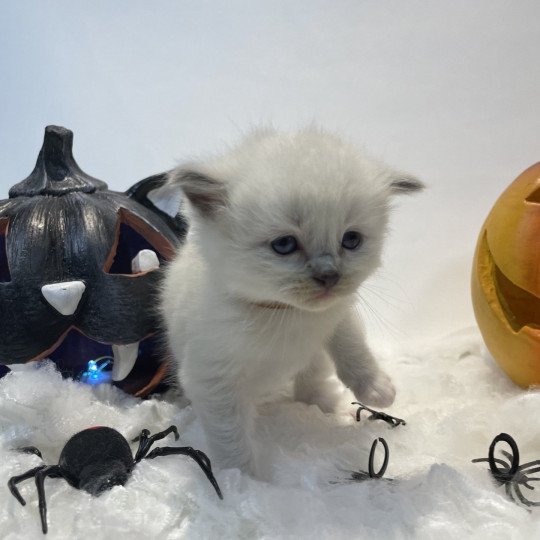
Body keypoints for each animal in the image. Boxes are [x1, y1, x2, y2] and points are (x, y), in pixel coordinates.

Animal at [162, 130, 424, 476]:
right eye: (285, 244)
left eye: (351, 240)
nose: (329, 276)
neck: (287, 313)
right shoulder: (214, 380)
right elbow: (231, 435)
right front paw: (241, 479)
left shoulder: (337, 314)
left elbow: (352, 347)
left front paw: (377, 389)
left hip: (314, 360)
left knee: (311, 383)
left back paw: (327, 406)